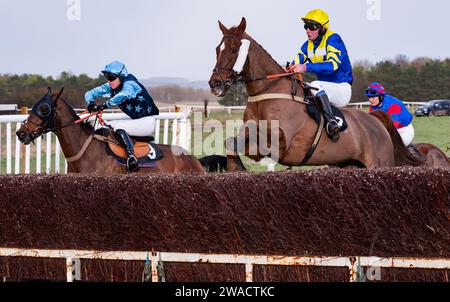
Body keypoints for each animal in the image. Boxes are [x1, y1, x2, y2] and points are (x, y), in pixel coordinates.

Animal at [209, 18, 424, 170]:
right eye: (217, 49)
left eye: (234, 49)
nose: (214, 83)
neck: (268, 91)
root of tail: (377, 120)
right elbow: (231, 142)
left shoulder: (281, 143)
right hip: (350, 165)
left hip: (380, 163)